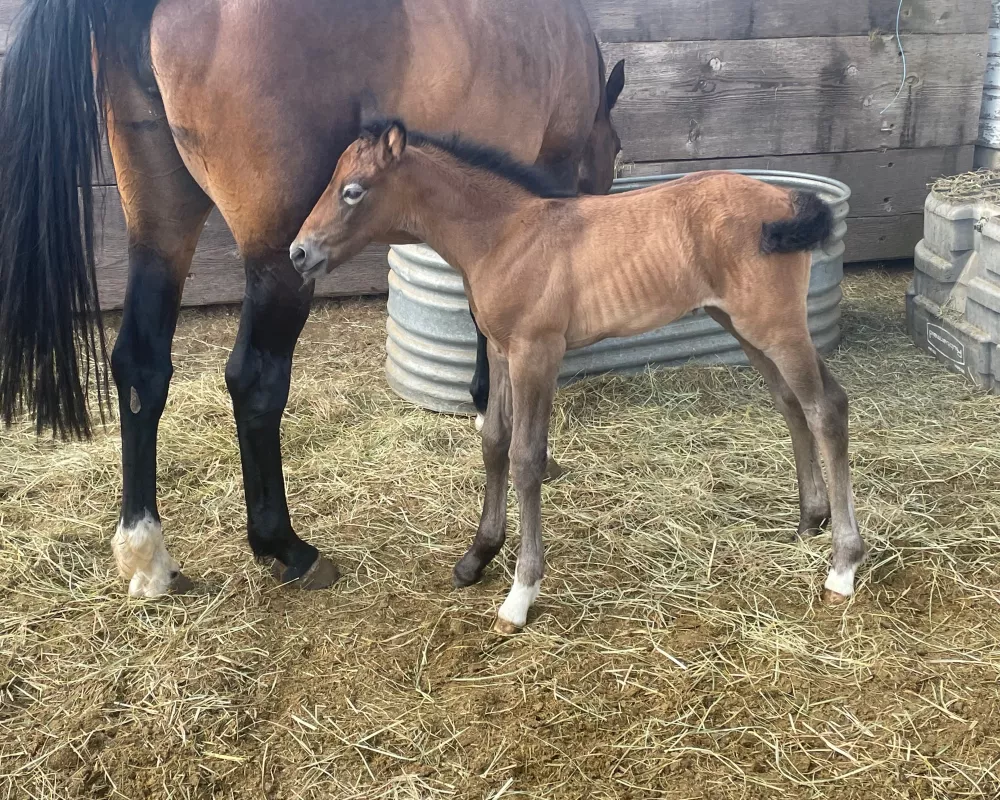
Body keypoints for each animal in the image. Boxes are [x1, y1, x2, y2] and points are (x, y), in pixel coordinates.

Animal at [290, 120, 868, 632]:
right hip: (746, 327)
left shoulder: (536, 353)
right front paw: (477, 556)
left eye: (352, 190)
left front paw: (520, 594)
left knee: (825, 409)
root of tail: (787, 200)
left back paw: (842, 567)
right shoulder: (501, 352)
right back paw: (809, 519)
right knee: (794, 404)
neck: (506, 236)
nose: (299, 252)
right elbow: (494, 442)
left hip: (775, 325)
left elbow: (526, 459)